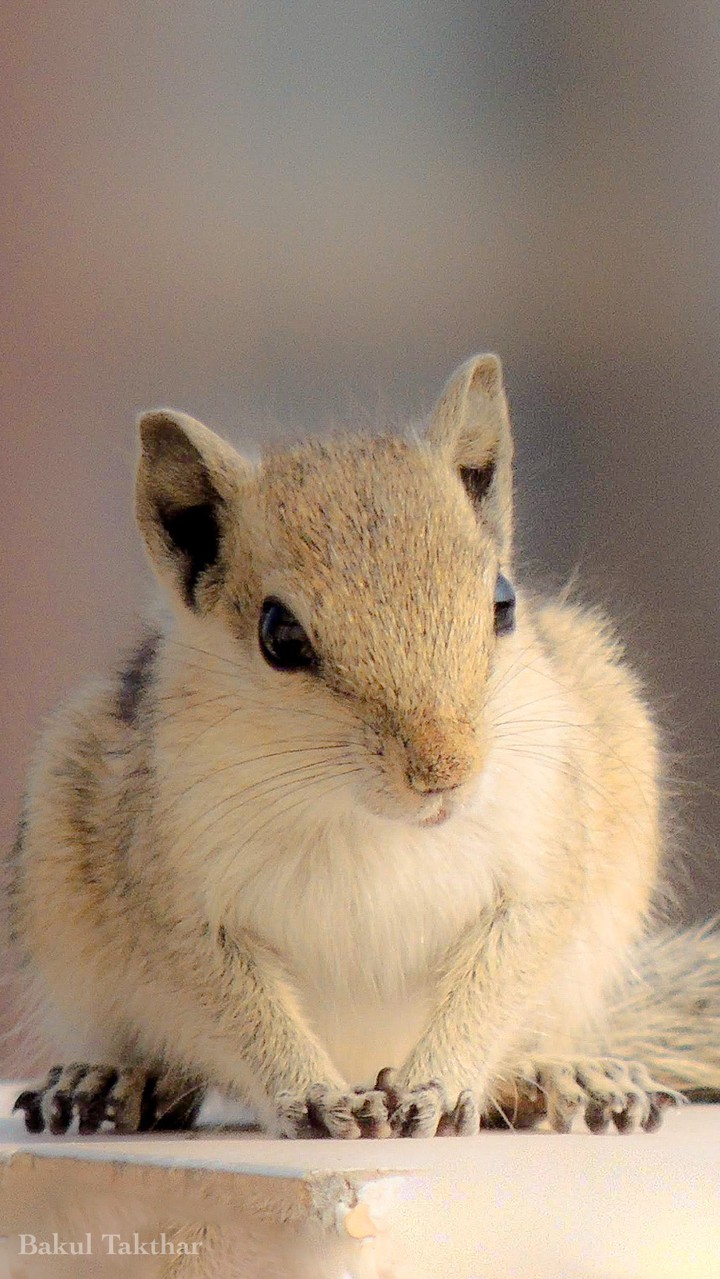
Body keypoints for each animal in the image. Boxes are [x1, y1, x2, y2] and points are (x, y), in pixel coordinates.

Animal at [8, 354, 720, 1139]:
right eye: (280, 635)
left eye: (502, 600)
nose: (444, 771)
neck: (373, 819)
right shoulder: (175, 902)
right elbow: (237, 1007)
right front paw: (310, 1093)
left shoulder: (541, 863)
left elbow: (503, 974)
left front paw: (438, 1082)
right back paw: (116, 1079)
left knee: (533, 1046)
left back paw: (570, 1076)